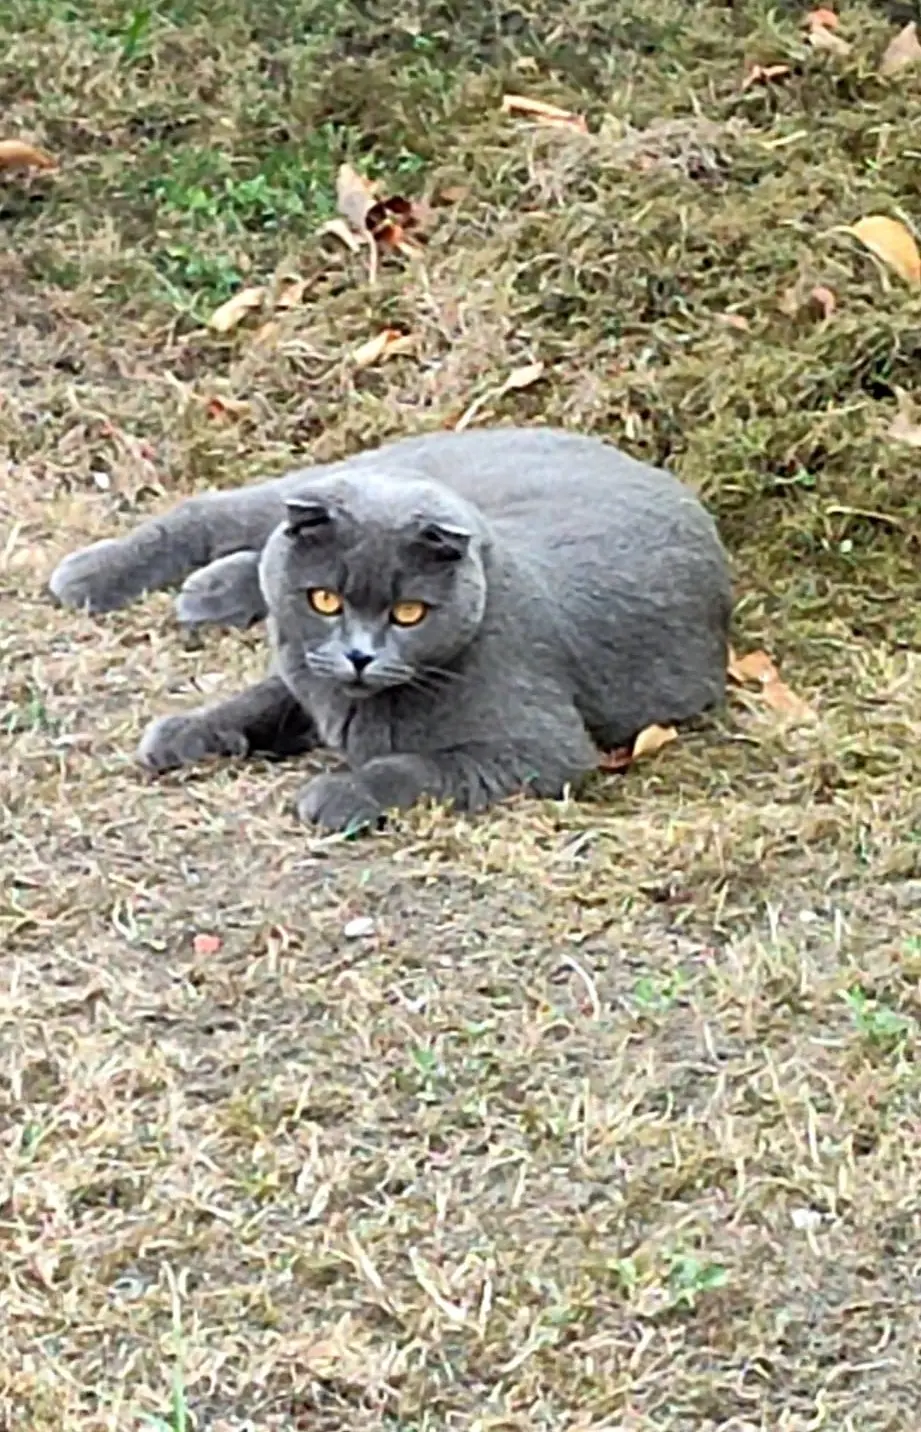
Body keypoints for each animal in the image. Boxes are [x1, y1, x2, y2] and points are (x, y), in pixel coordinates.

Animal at [50, 418, 730, 836]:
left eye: (408, 613)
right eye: (325, 599)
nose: (359, 656)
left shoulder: (541, 750)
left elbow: (414, 766)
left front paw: (338, 793)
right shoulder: (306, 672)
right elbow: (260, 698)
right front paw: (181, 731)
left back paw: (205, 593)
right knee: (220, 512)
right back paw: (88, 576)